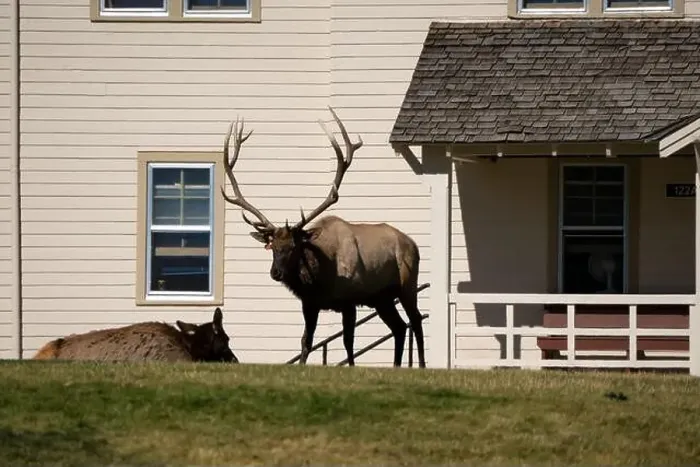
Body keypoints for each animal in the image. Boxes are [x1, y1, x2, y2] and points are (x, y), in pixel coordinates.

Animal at [220, 106, 425, 368]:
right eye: (272, 247)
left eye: (294, 247)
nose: (276, 272)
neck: (321, 278)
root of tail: (414, 244)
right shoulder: (310, 303)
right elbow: (306, 341)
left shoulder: (349, 299)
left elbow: (348, 342)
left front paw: (351, 367)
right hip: (381, 298)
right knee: (399, 327)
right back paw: (397, 366)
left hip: (407, 283)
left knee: (416, 320)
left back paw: (421, 364)